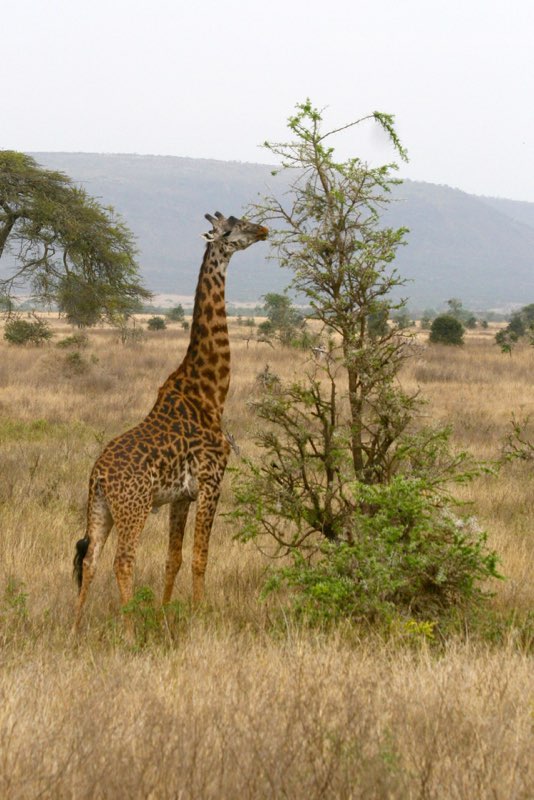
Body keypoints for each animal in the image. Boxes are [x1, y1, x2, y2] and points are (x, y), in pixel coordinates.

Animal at [72, 212, 268, 635]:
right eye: (234, 226)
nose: (263, 230)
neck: (210, 392)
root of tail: (98, 475)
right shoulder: (211, 482)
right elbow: (200, 557)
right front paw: (199, 615)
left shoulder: (181, 496)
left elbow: (173, 558)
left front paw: (165, 613)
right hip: (135, 507)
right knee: (122, 560)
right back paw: (129, 627)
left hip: (100, 509)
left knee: (91, 559)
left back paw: (76, 627)